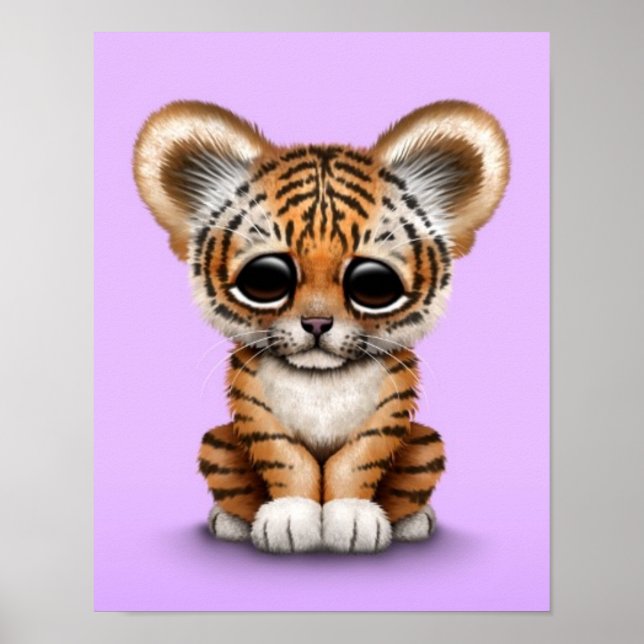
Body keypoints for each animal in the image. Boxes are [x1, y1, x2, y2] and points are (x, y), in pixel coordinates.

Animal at [133, 99, 509, 554]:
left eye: (373, 284)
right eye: (266, 278)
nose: (315, 323)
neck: (321, 382)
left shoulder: (387, 413)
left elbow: (356, 462)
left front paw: (353, 519)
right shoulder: (258, 414)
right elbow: (289, 462)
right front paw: (290, 518)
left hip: (426, 443)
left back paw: (415, 522)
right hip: (216, 443)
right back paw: (230, 522)